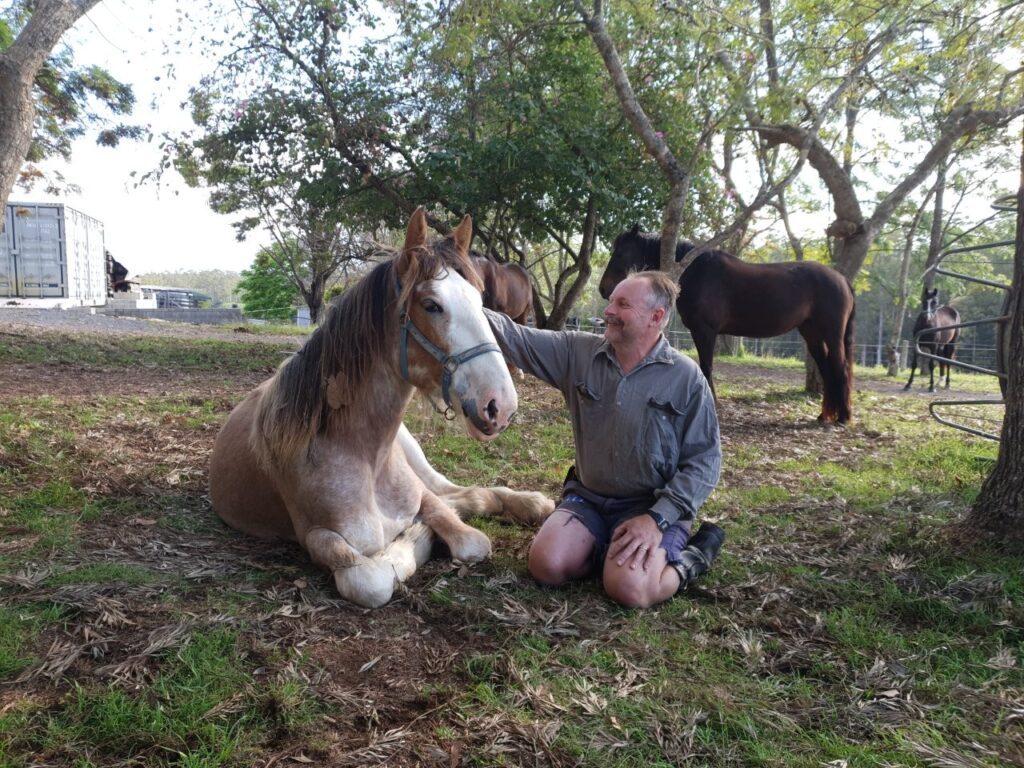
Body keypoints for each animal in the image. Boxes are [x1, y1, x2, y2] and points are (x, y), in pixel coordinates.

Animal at [209, 208, 554, 608]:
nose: (500, 404)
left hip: (417, 456)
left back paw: (534, 503)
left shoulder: (424, 499)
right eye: (431, 305)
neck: (362, 455)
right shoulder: (316, 535)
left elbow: (469, 538)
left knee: (462, 491)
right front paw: (416, 538)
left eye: (479, 300)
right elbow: (374, 579)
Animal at [600, 225, 857, 423]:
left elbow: (706, 367)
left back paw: (843, 417)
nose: (604, 289)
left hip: (832, 333)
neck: (697, 272)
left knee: (840, 367)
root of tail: (842, 279)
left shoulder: (705, 331)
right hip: (811, 332)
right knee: (826, 368)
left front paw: (712, 405)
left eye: (621, 253)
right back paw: (825, 415)